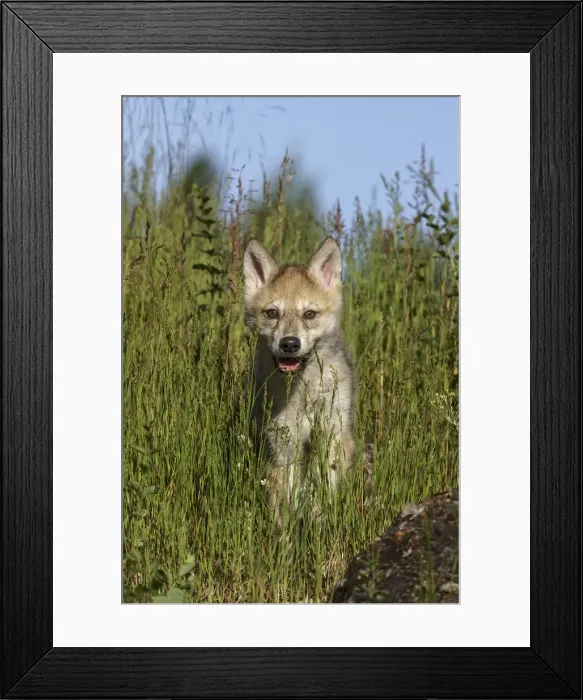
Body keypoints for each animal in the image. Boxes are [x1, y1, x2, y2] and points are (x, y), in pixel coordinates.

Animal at [242, 236, 356, 525]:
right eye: (272, 313)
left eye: (310, 314)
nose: (290, 344)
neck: (303, 391)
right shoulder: (283, 446)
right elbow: (287, 502)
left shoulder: (332, 437)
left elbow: (320, 491)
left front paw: (316, 523)